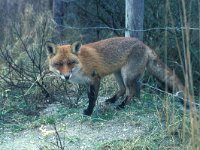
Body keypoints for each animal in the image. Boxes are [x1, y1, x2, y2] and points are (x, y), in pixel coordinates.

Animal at [46, 37, 186, 115]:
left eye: (71, 62)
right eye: (59, 64)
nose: (66, 76)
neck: (82, 64)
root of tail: (144, 44)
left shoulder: (95, 78)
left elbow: (92, 98)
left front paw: (89, 112)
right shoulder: (87, 82)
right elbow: (89, 96)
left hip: (127, 75)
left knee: (131, 91)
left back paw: (121, 106)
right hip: (117, 74)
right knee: (123, 89)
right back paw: (111, 100)